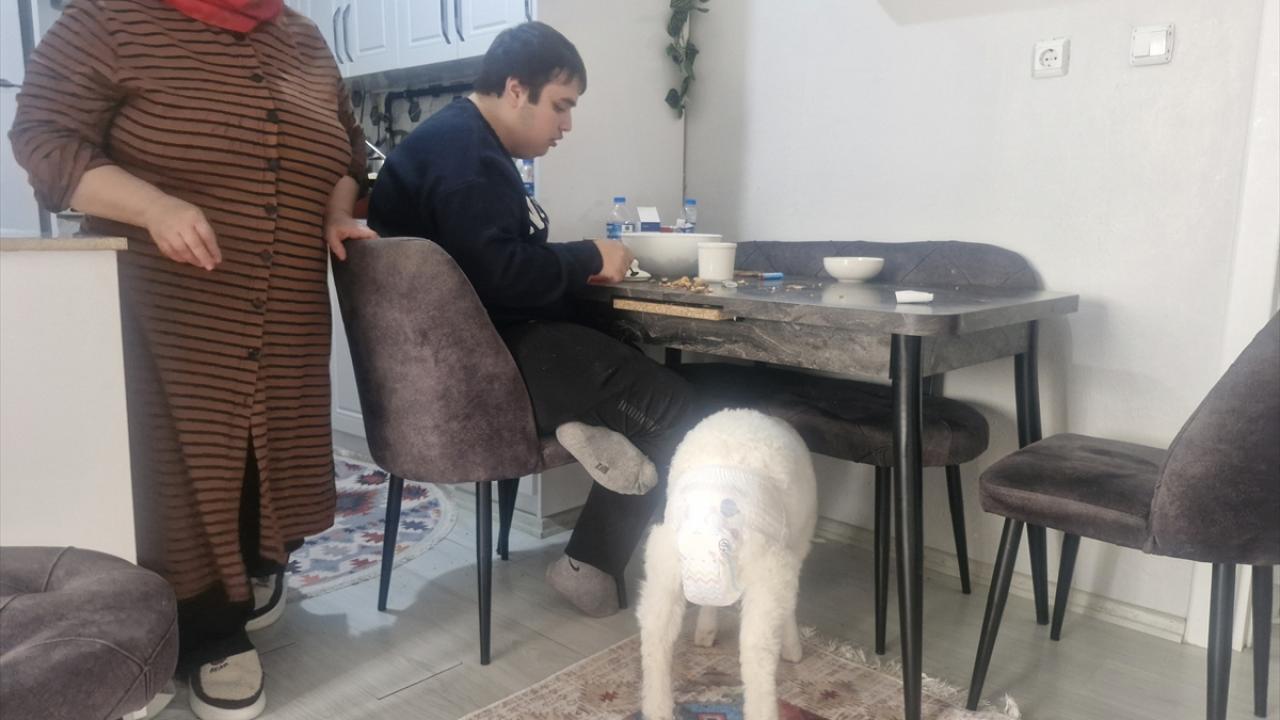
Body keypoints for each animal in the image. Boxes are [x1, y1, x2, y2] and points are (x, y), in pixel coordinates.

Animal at [638, 408, 818, 720]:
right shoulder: (787, 558)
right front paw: (792, 646)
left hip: (664, 568)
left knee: (655, 634)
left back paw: (658, 707)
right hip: (769, 571)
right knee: (757, 649)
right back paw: (765, 706)